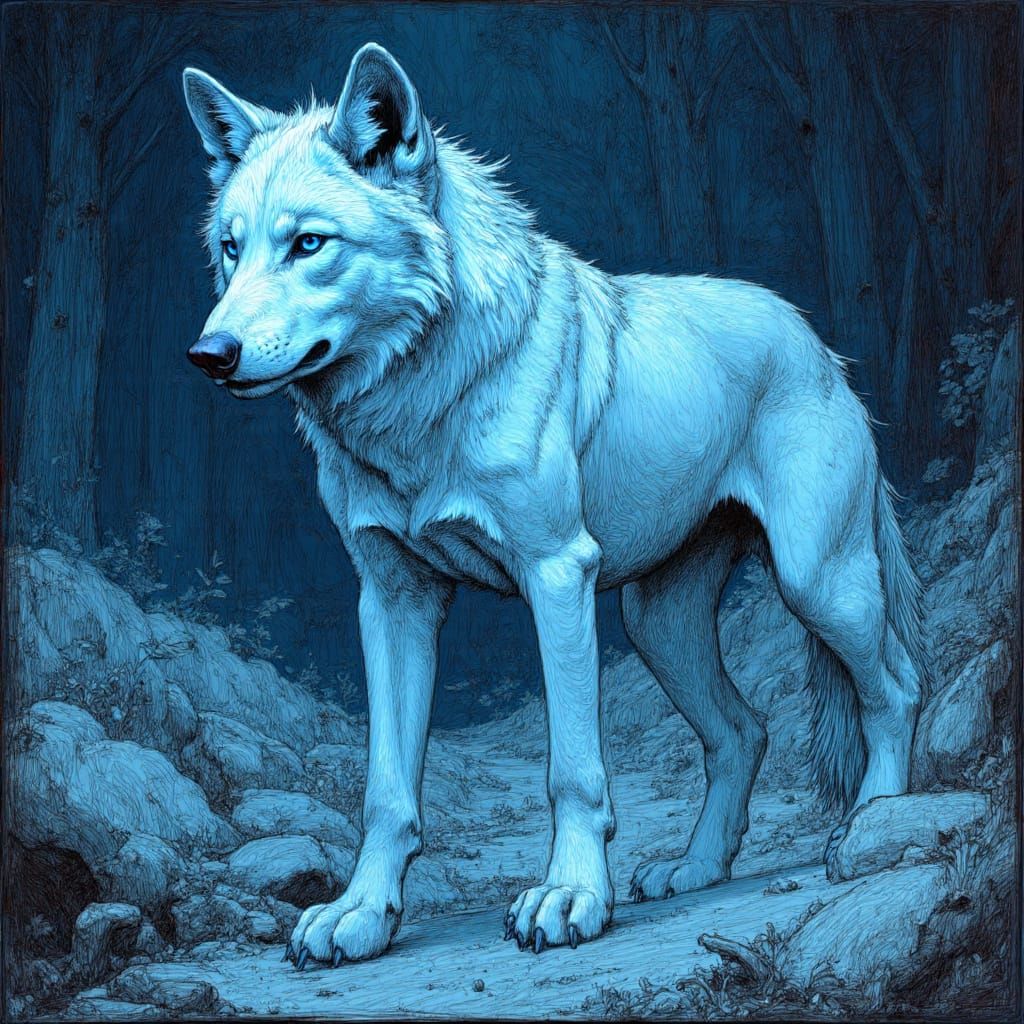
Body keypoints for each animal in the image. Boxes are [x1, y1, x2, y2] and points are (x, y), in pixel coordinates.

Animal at [182, 43, 924, 967]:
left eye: (308, 244)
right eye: (229, 249)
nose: (208, 354)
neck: (424, 400)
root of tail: (816, 342)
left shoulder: (558, 575)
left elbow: (572, 769)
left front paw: (570, 898)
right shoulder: (393, 602)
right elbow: (386, 789)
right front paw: (360, 915)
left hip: (817, 582)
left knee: (894, 689)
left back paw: (869, 829)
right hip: (657, 624)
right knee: (742, 729)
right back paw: (694, 870)